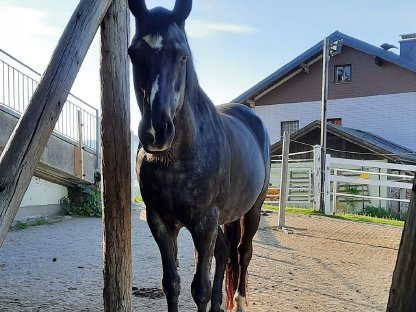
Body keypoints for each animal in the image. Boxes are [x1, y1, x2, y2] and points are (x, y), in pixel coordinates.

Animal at [129, 1, 270, 310]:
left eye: (182, 55)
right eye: (133, 54)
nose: (156, 131)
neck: (177, 160)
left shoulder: (204, 223)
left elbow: (200, 290)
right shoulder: (160, 222)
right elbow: (172, 284)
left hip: (251, 211)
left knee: (243, 252)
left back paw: (240, 300)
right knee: (225, 251)